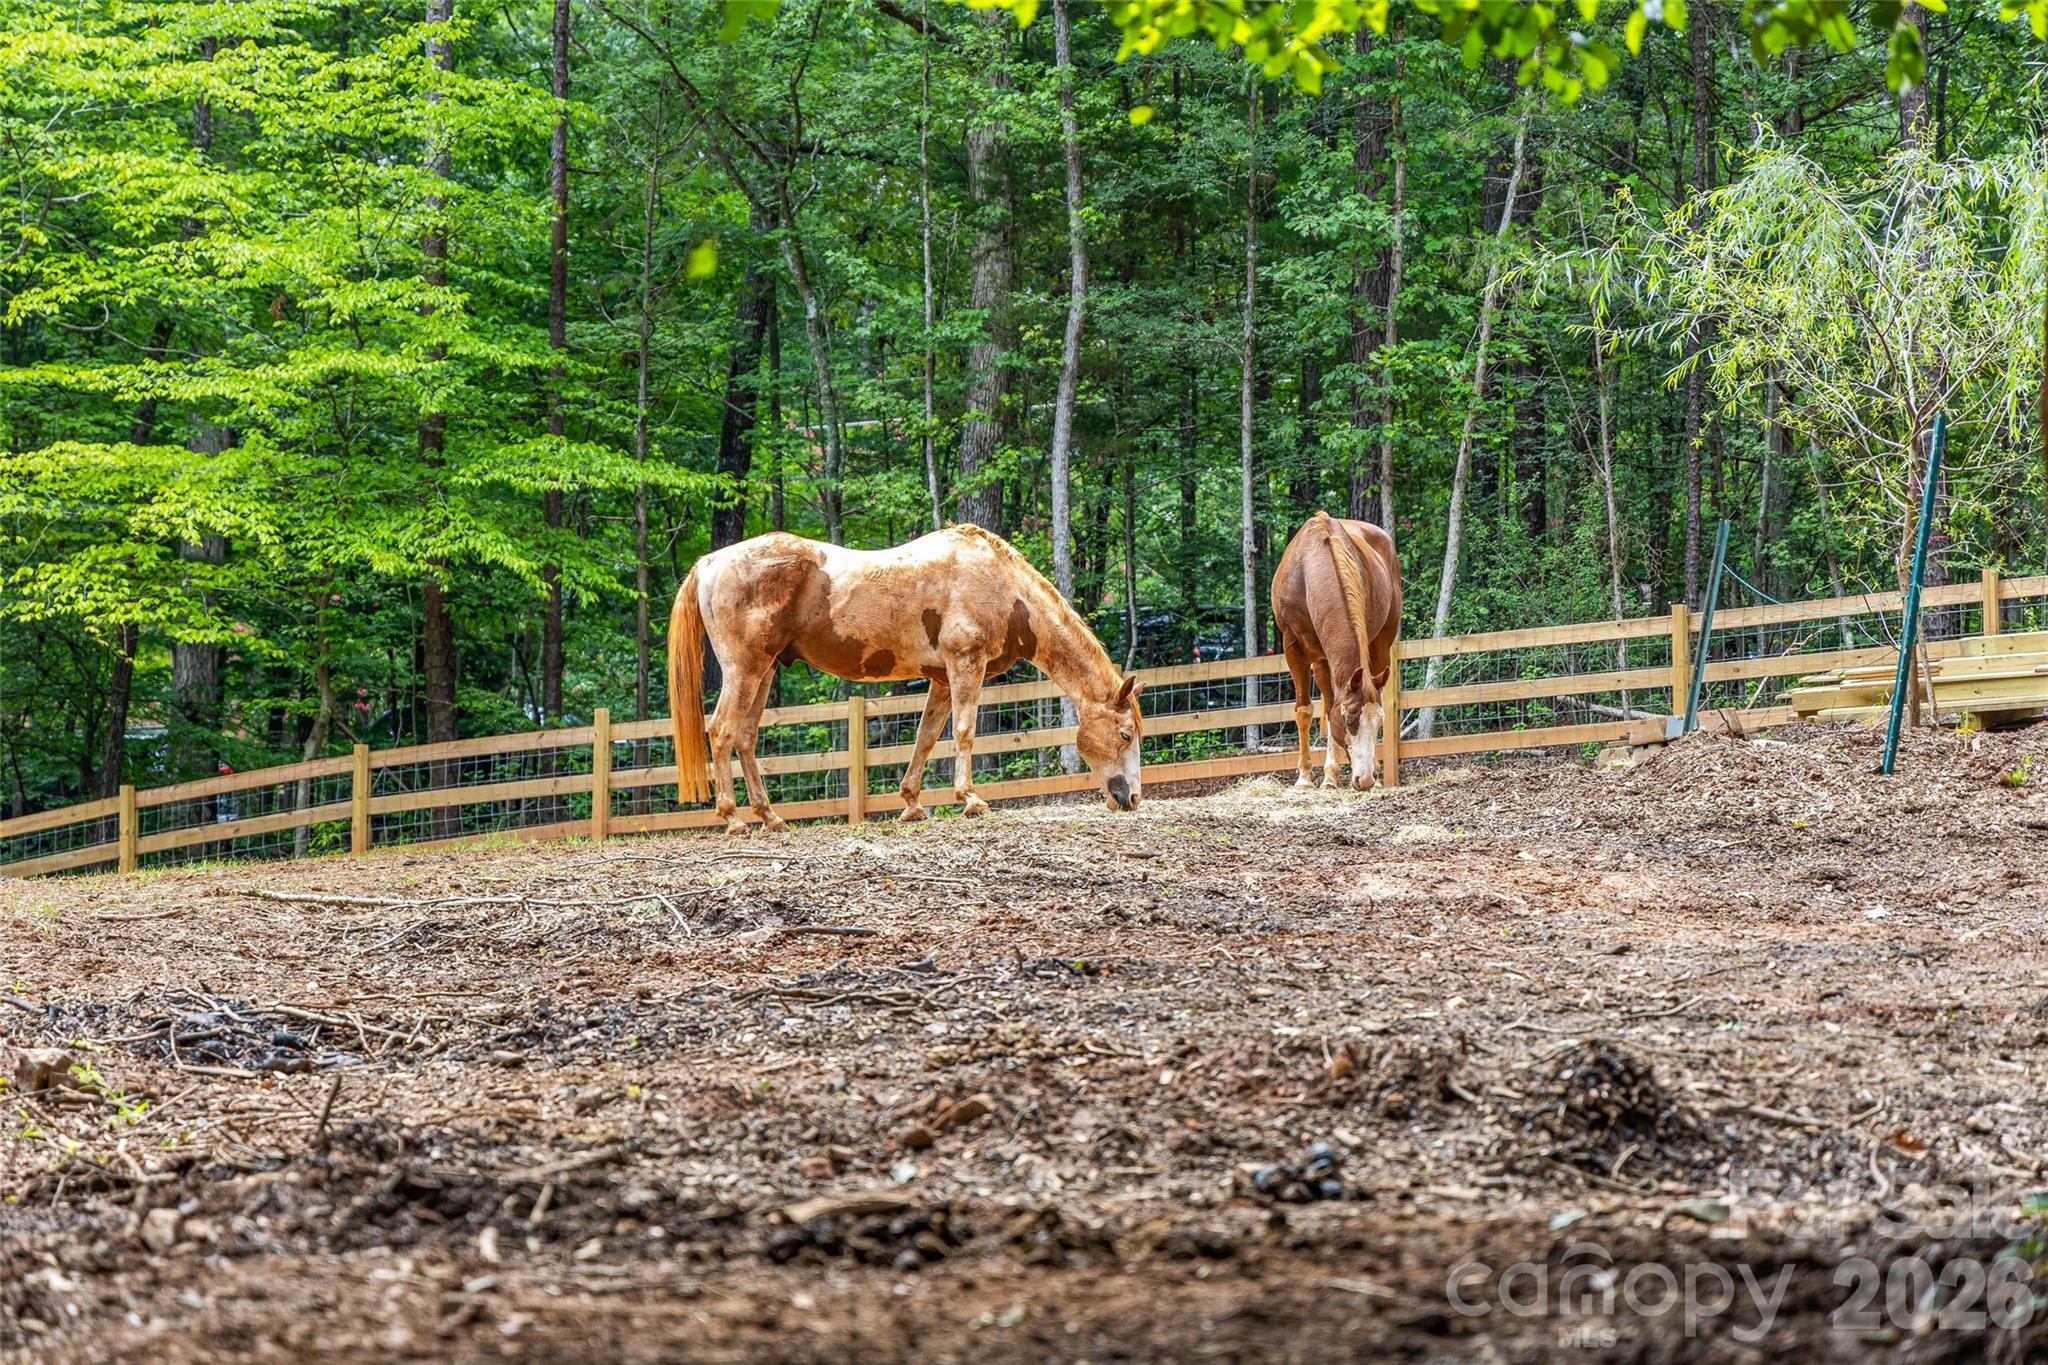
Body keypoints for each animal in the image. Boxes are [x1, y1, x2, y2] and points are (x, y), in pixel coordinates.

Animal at [668, 525, 1145, 833]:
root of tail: (710, 562)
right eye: (1125, 734)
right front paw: (971, 800)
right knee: (722, 731)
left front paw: (913, 803)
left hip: (765, 671)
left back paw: (770, 817)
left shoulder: (943, 680)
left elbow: (926, 737)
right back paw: (732, 819)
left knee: (746, 737)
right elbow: (965, 731)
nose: (1133, 799)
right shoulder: (965, 667)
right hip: (745, 670)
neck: (1002, 586)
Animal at [1270, 511, 1401, 790]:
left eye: (1379, 723)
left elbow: (1331, 710)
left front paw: (1330, 775)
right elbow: (1306, 710)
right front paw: (1305, 777)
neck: (1311, 570)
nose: (1365, 779)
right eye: (1350, 720)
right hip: (1320, 658)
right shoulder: (1292, 647)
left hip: (1380, 643)